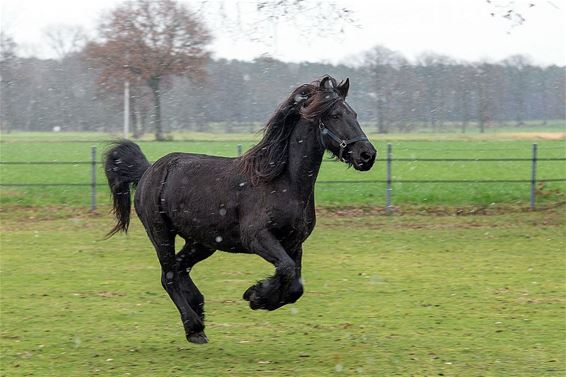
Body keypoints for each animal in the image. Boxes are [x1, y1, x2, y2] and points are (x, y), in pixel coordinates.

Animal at [104, 75, 380, 342]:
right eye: (335, 115)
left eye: (354, 114)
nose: (367, 155)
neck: (281, 181)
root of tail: (148, 171)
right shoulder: (257, 237)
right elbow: (287, 270)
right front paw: (256, 295)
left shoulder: (294, 243)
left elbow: (294, 286)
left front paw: (260, 297)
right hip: (161, 233)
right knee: (169, 276)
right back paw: (194, 327)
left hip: (202, 242)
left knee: (181, 268)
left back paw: (198, 309)